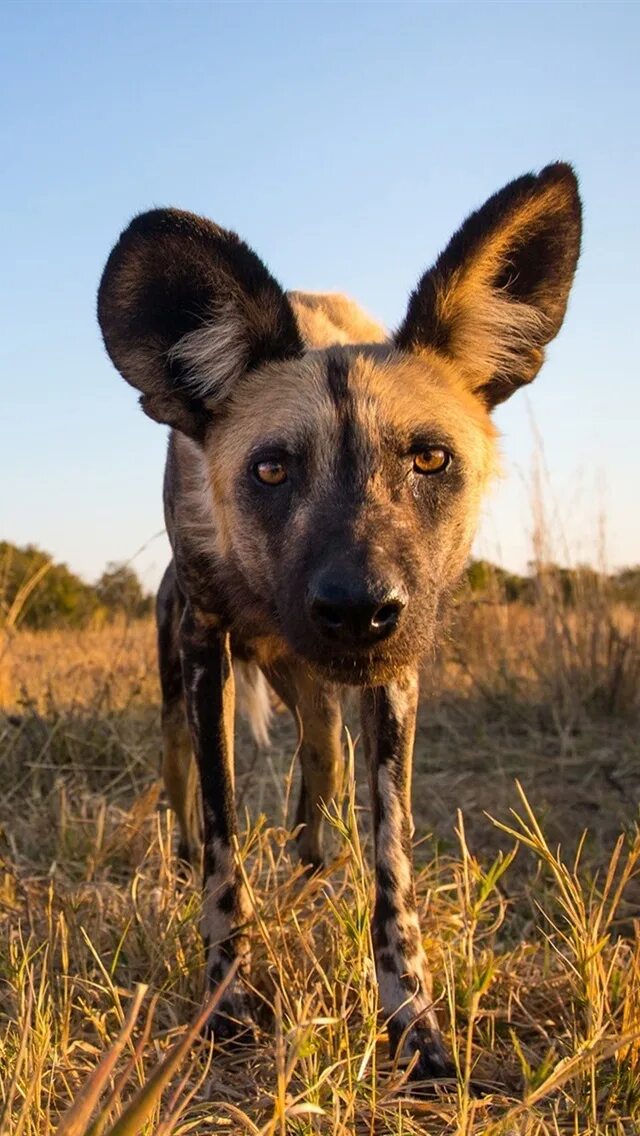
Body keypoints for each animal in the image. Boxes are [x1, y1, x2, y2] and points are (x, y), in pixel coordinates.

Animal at [97, 164, 582, 1076]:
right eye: (271, 470)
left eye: (431, 460)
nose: (359, 609)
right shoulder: (206, 651)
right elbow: (223, 846)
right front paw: (227, 1001)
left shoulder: (395, 678)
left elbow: (391, 861)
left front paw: (412, 1022)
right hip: (184, 692)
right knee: (187, 797)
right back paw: (188, 870)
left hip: (317, 699)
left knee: (317, 788)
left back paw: (313, 889)